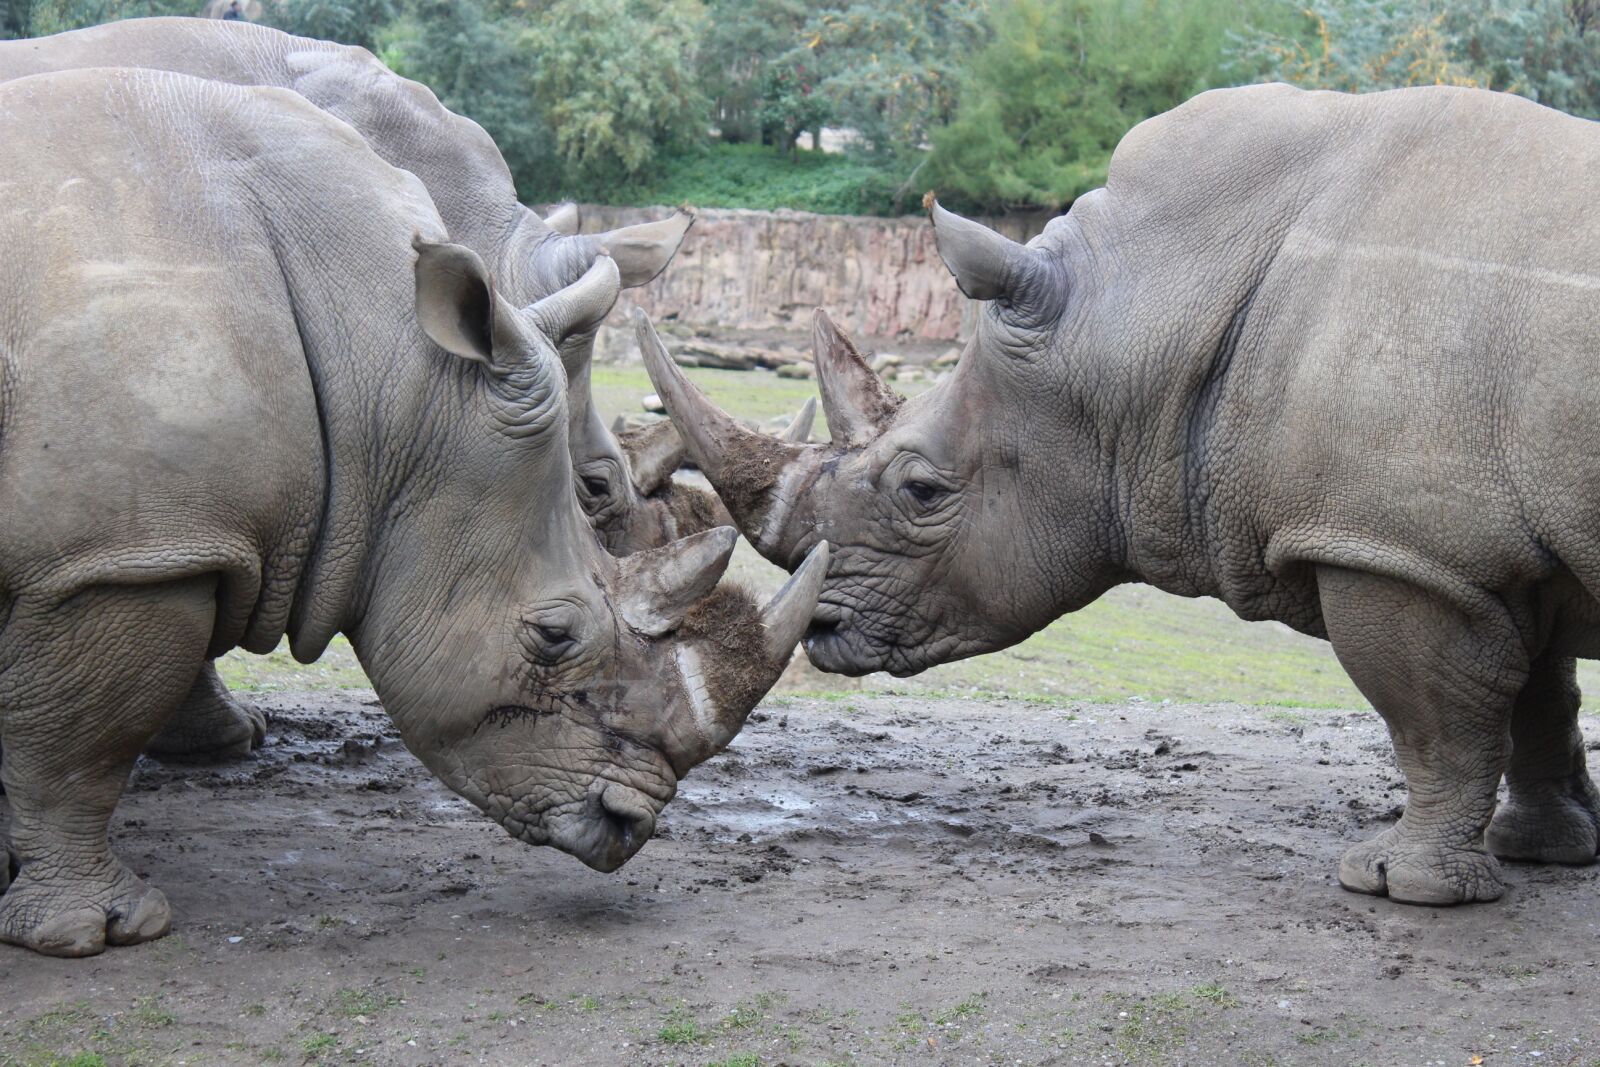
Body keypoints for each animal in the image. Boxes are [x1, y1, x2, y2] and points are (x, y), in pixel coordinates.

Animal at [641, 83, 1600, 907]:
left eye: (920, 489)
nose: (824, 626)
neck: (1144, 303)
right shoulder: (1490, 545)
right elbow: (1537, 694)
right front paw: (1543, 849)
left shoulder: (1400, 549)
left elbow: (1435, 713)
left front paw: (1400, 884)